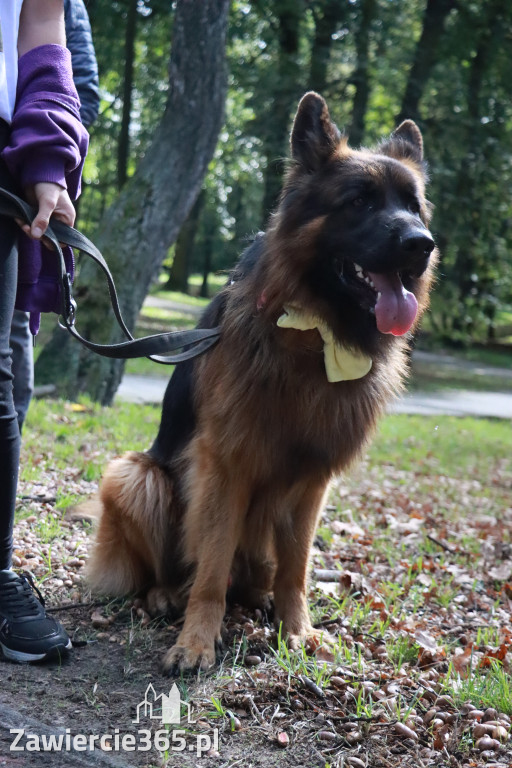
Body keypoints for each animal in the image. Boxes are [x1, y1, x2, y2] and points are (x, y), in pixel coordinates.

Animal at [83, 93, 436, 672]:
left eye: (414, 206)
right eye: (360, 202)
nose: (421, 244)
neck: (314, 333)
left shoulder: (313, 482)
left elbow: (298, 569)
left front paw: (298, 631)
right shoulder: (225, 467)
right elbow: (210, 568)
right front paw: (197, 641)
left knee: (259, 579)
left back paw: (260, 602)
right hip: (134, 476)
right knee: (170, 572)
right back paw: (164, 596)